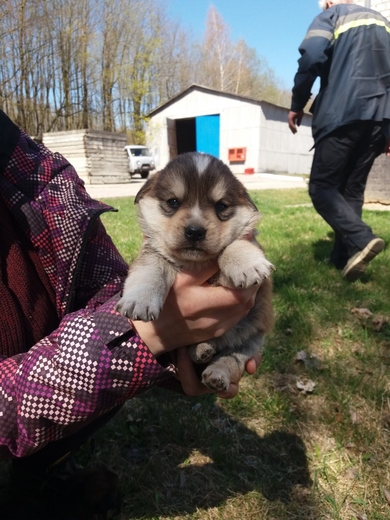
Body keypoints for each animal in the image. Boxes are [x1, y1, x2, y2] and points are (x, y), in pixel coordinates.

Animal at [116, 150, 274, 390]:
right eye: (173, 202)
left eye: (221, 206)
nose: (195, 232)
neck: (194, 263)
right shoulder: (152, 253)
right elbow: (149, 271)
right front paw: (139, 301)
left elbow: (231, 245)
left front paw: (246, 264)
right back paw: (202, 349)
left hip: (253, 336)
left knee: (233, 357)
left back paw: (216, 373)